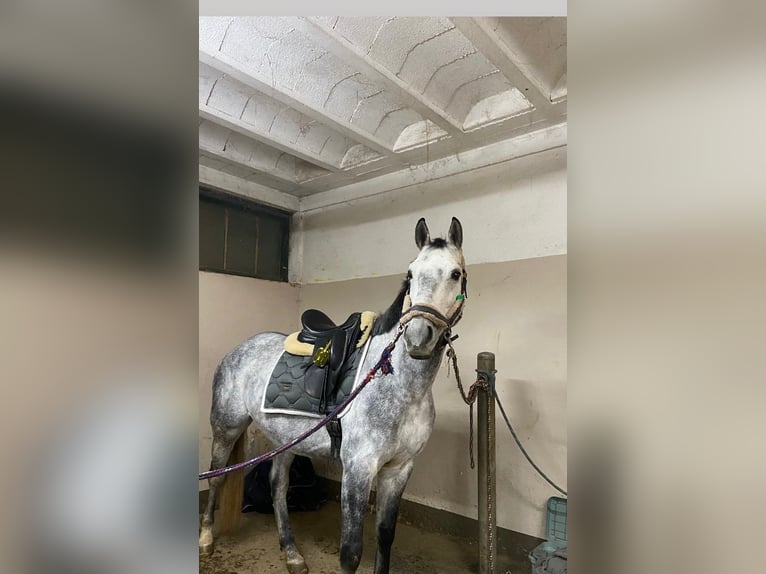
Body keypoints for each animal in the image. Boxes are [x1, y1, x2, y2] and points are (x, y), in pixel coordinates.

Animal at [201, 218, 468, 572]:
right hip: (226, 427)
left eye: (455, 273)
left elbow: (385, 535)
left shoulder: (399, 469)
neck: (402, 389)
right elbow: (351, 551)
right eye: (411, 274)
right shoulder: (357, 469)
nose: (418, 337)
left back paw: (291, 552)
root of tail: (238, 349)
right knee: (217, 477)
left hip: (285, 439)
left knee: (277, 486)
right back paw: (206, 538)